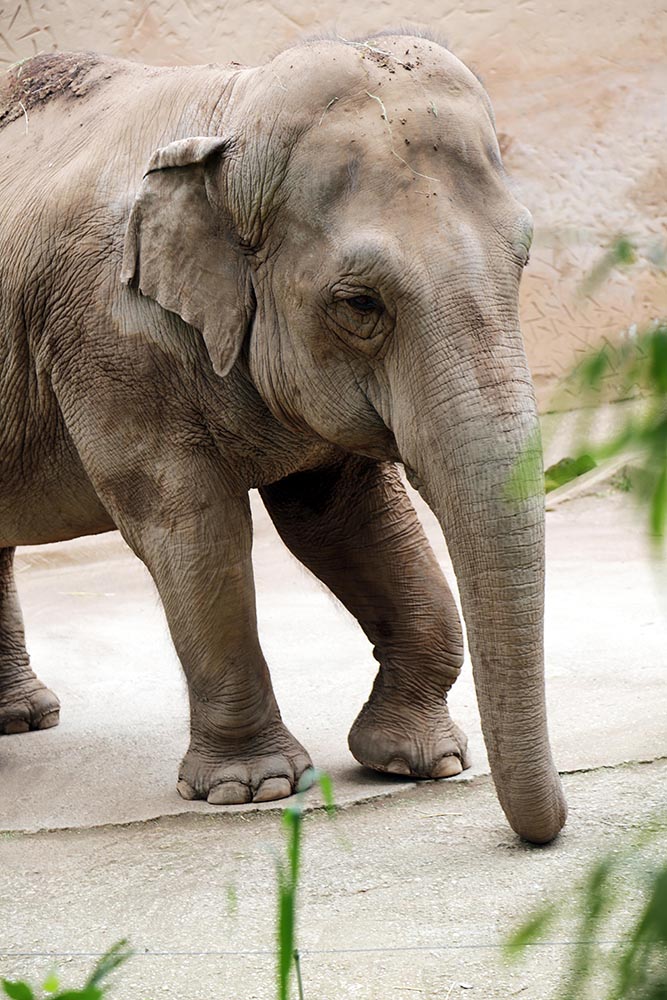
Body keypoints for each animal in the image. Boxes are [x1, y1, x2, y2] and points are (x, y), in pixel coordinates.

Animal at [0, 29, 567, 843]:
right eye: (359, 303)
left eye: (521, 260)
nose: (545, 834)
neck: (229, 110)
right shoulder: (108, 336)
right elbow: (189, 527)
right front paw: (255, 787)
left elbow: (344, 521)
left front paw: (417, 761)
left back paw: (24, 718)